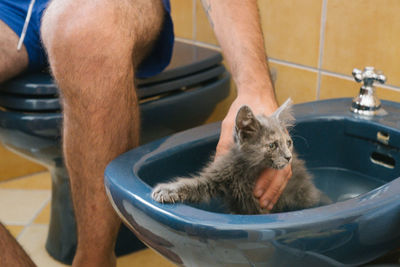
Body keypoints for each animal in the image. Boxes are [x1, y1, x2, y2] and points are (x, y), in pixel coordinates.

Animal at [151, 99, 328, 215]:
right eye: (272, 145)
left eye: (288, 142)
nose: (288, 157)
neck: (247, 171)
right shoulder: (218, 175)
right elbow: (193, 184)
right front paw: (167, 190)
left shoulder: (261, 205)